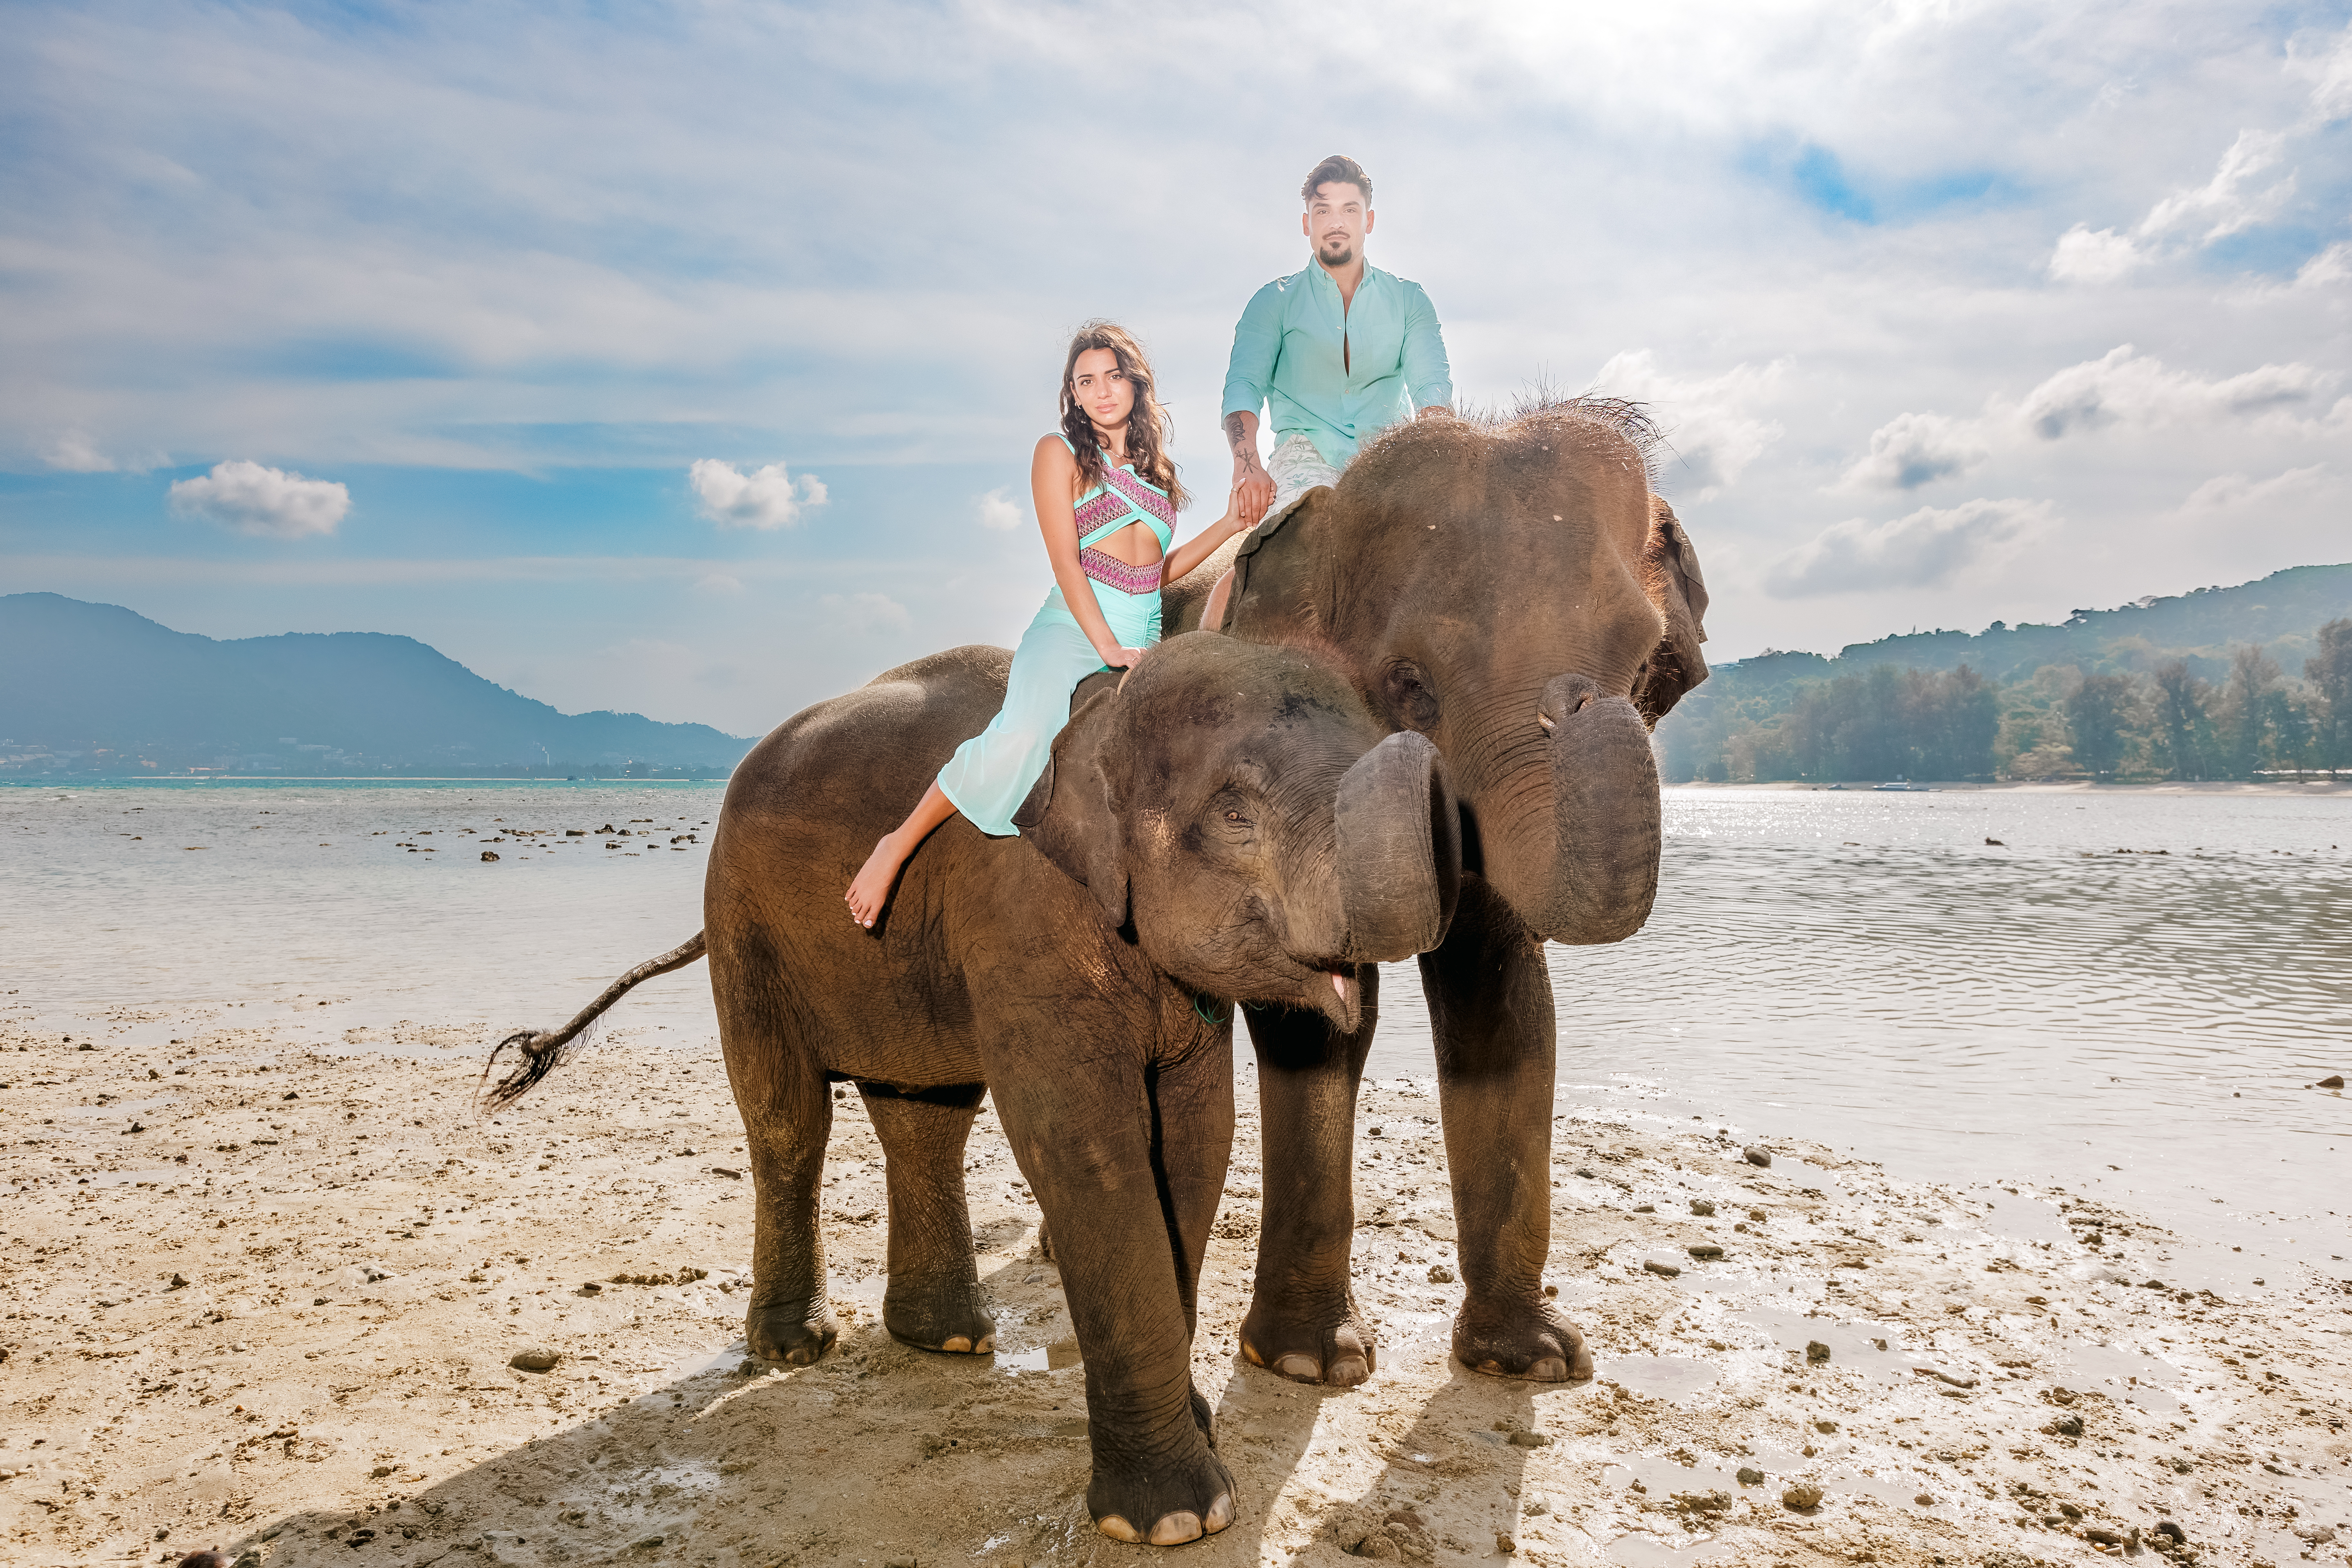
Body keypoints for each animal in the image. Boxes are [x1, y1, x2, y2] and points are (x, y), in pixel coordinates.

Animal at [482, 631, 1460, 1546]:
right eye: (1233, 811)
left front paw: (1199, 1434)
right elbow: (1089, 1147)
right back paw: (796, 1347)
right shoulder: (1021, 918)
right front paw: (1174, 1521)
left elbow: (1193, 1140)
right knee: (788, 1120)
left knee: (925, 1117)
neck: (1102, 712)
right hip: (742, 925)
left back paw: (945, 1338)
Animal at [1153, 396, 1710, 1390]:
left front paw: (1531, 1360)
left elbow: (1502, 1000)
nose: (1574, 699)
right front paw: (1308, 1363)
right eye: (1408, 685)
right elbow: (1319, 1012)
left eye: (1646, 659)